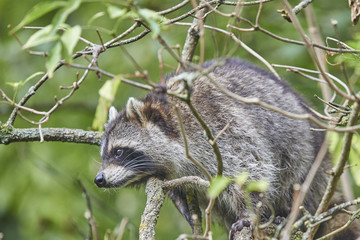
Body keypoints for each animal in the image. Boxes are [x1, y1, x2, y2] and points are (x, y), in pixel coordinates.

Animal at [93, 59, 358, 239]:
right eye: (104, 154)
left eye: (118, 151)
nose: (99, 179)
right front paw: (185, 207)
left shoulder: (220, 127)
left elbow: (250, 169)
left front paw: (247, 214)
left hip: (306, 156)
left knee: (298, 182)